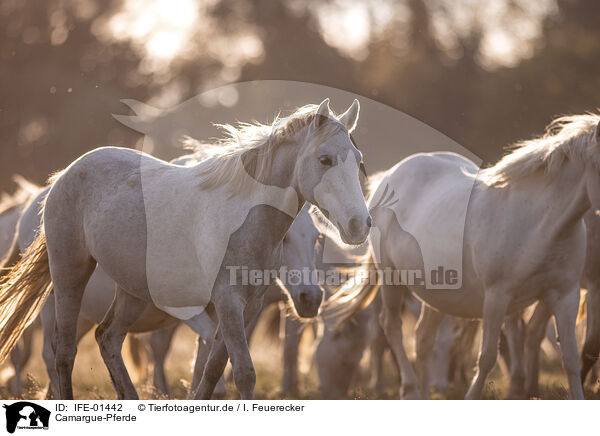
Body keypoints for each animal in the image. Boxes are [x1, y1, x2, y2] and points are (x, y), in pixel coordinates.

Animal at [0, 99, 370, 398]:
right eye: (325, 159)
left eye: (359, 161)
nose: (359, 224)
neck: (243, 217)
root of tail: (64, 175)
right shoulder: (227, 301)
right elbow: (243, 372)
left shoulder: (248, 305)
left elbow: (211, 371)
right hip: (69, 275)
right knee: (62, 352)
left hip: (132, 292)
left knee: (107, 339)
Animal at [326, 112, 600, 398]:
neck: (539, 221)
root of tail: (388, 177)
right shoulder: (497, 296)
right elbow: (487, 357)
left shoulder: (565, 295)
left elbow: (570, 357)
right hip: (391, 279)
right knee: (391, 327)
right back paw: (410, 387)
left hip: (437, 292)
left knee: (423, 338)